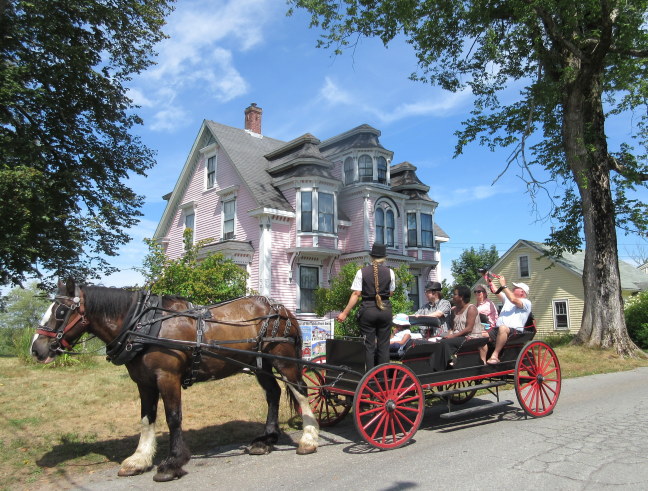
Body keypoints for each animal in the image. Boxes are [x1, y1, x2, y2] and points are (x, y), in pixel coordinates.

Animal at [30, 278, 318, 482]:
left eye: (61, 311)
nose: (36, 349)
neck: (143, 325)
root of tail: (282, 309)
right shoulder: (144, 382)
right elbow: (147, 419)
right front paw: (139, 460)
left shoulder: (167, 377)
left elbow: (173, 418)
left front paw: (172, 463)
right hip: (261, 365)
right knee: (273, 394)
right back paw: (266, 440)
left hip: (284, 361)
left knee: (301, 391)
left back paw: (308, 439)